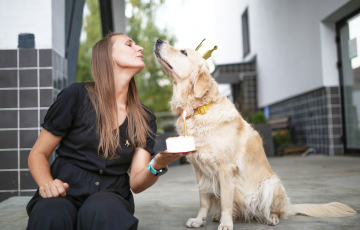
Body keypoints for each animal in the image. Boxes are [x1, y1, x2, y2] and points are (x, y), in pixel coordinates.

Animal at [153, 38, 356, 229]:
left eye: (183, 52)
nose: (158, 41)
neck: (200, 109)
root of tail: (289, 206)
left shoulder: (226, 169)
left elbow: (226, 201)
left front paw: (226, 224)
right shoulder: (199, 170)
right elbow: (204, 200)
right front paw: (199, 220)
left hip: (271, 185)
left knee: (275, 211)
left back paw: (271, 218)